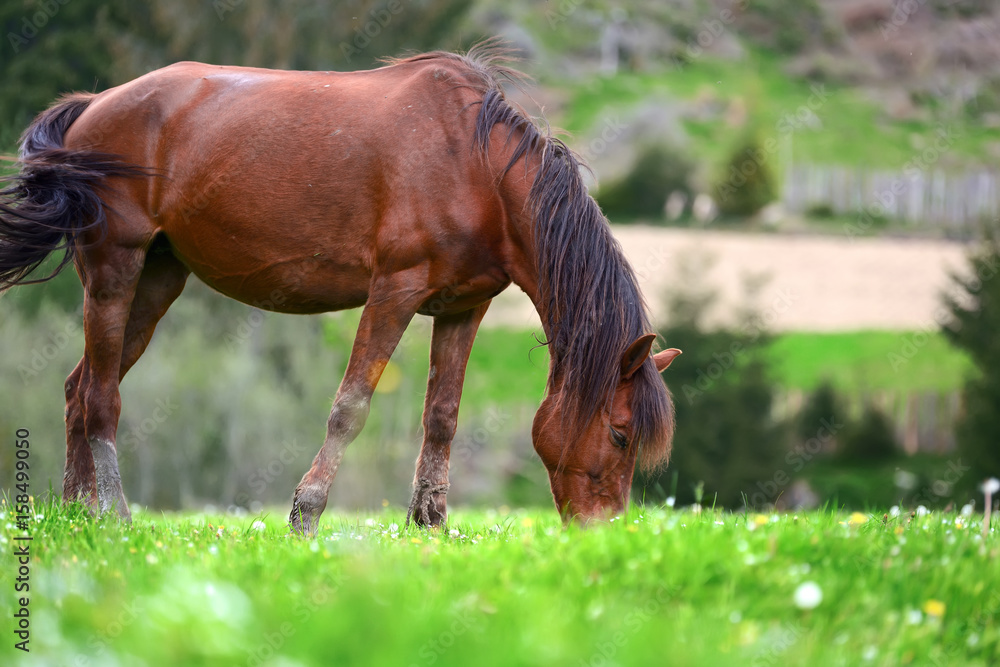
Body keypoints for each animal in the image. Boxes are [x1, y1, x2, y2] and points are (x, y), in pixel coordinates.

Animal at [0, 42, 679, 533]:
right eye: (620, 433)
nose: (602, 534)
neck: (477, 168)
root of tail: (95, 104)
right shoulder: (394, 292)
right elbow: (350, 408)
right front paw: (306, 514)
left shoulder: (463, 308)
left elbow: (442, 417)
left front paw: (430, 526)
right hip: (114, 268)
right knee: (100, 398)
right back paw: (112, 514)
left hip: (159, 278)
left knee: (80, 388)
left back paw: (77, 513)